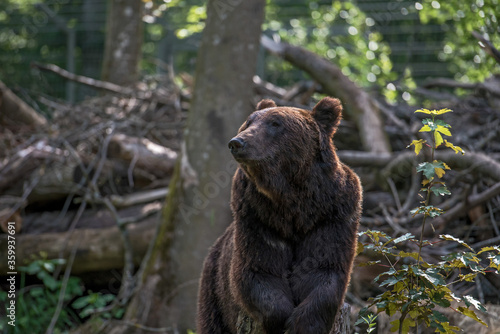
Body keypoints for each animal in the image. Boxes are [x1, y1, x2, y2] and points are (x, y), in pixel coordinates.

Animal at [196, 97, 364, 334]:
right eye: (248, 122)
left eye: (275, 123)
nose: (237, 142)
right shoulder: (257, 218)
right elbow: (258, 270)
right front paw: (281, 320)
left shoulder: (333, 215)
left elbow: (324, 268)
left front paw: (303, 324)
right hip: (214, 293)